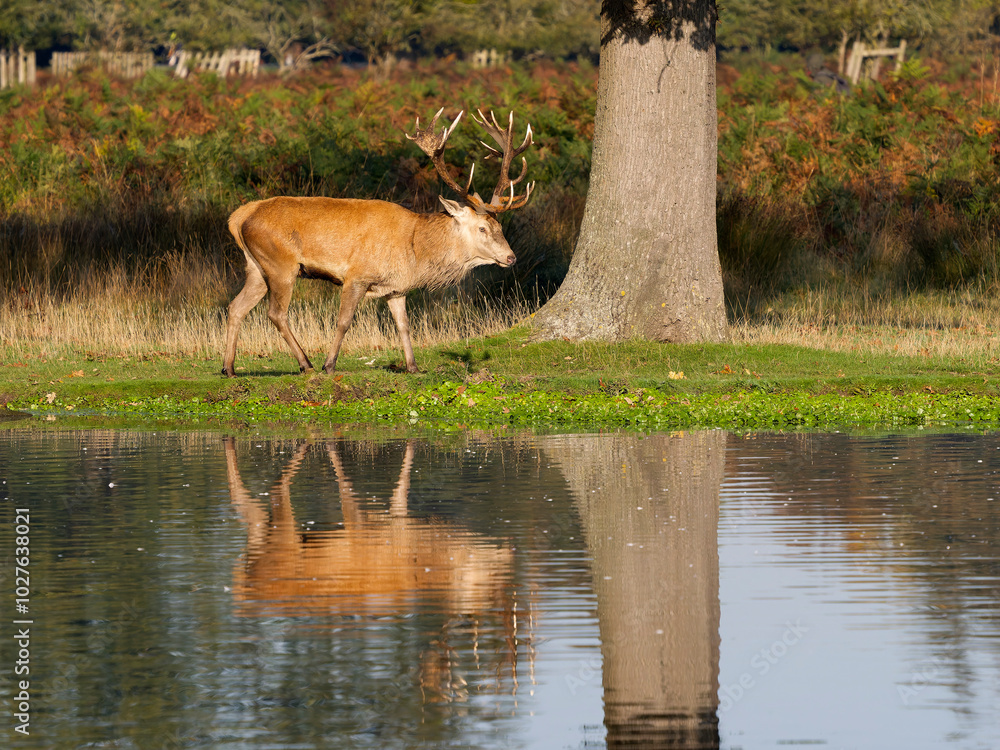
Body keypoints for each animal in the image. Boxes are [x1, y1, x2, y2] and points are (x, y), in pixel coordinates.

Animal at [222, 108, 535, 377]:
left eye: (499, 226)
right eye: (482, 228)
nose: (511, 258)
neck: (414, 250)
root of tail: (239, 216)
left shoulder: (396, 288)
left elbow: (404, 326)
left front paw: (413, 366)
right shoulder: (357, 275)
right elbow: (344, 321)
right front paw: (329, 365)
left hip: (256, 266)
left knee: (236, 306)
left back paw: (229, 368)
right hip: (281, 264)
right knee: (276, 313)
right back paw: (306, 364)